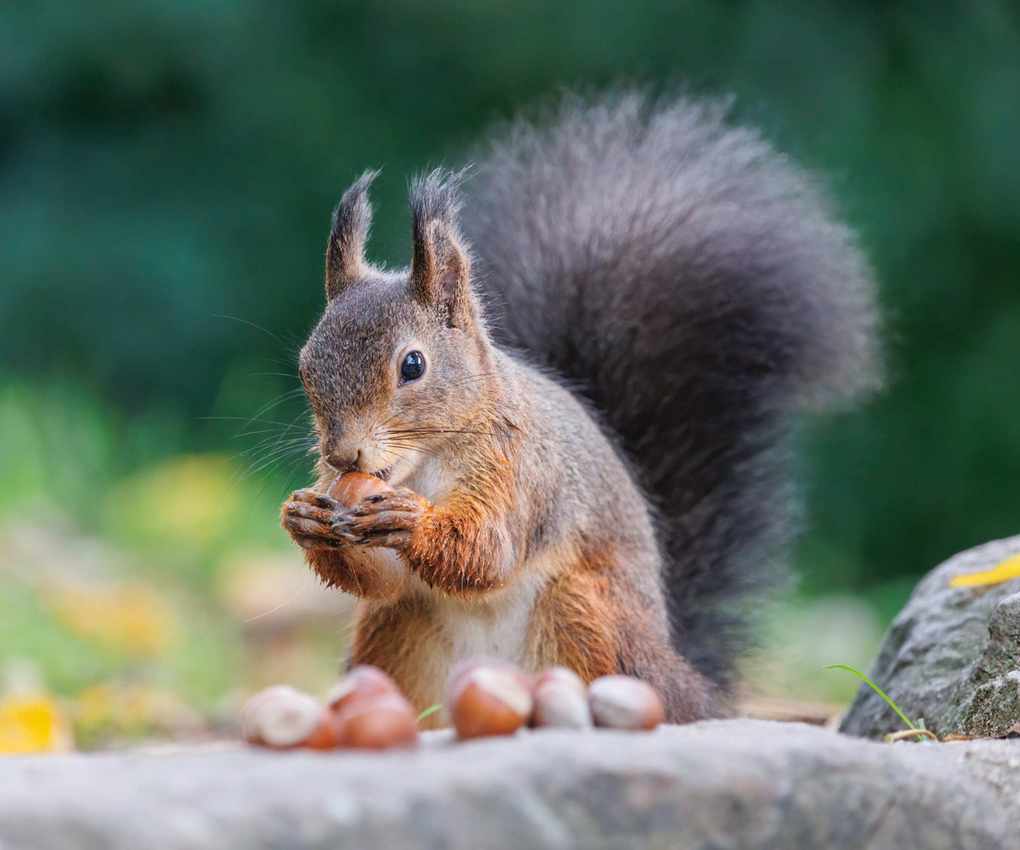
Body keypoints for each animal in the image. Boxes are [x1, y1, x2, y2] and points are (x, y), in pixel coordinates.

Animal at [280, 90, 879, 725]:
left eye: (412, 365)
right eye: (306, 364)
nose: (343, 457)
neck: (428, 461)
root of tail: (681, 674)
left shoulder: (522, 473)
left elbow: (489, 551)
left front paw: (409, 518)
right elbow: (384, 579)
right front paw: (304, 517)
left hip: (583, 613)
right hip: (397, 636)